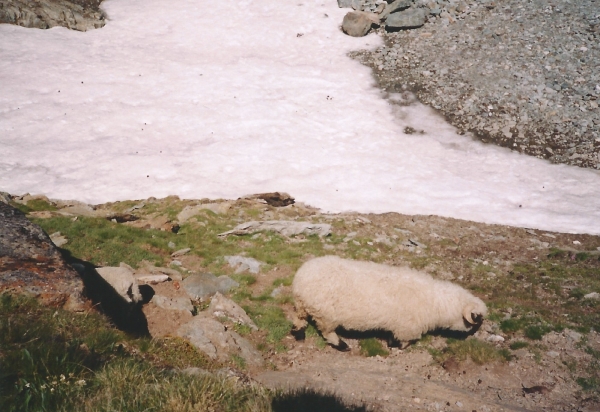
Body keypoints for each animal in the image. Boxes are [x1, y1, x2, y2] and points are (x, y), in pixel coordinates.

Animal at [292, 256, 488, 350]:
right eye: (477, 320)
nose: (473, 335)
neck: (437, 304)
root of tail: (301, 278)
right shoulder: (407, 328)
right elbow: (405, 342)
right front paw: (396, 345)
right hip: (326, 314)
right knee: (327, 332)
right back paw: (342, 345)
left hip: (304, 307)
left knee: (298, 319)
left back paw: (298, 334)